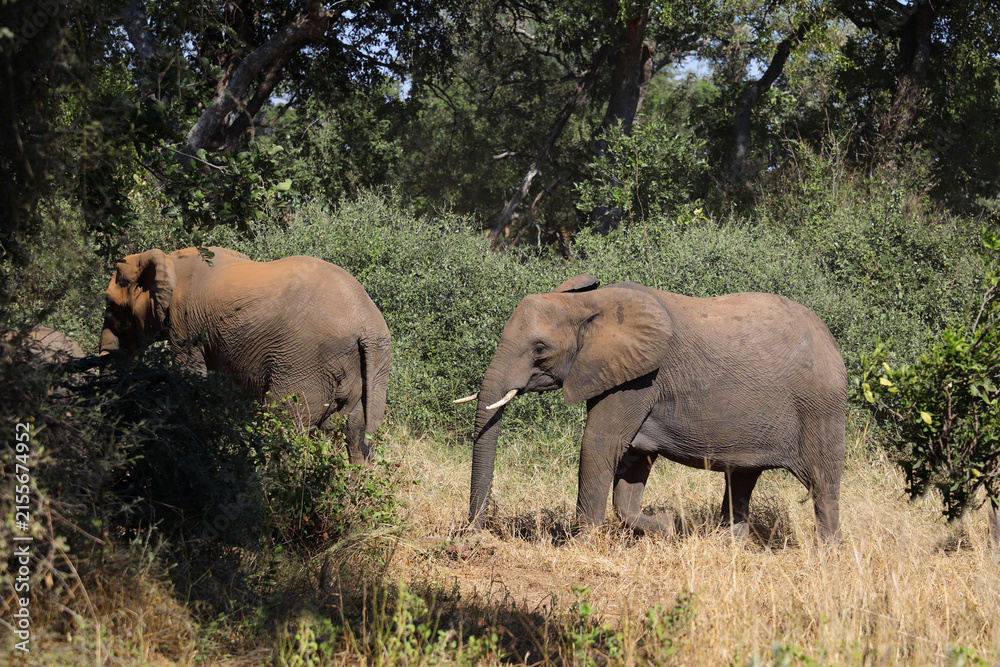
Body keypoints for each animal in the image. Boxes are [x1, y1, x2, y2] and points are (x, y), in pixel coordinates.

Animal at [99, 246, 391, 464]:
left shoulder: (185, 321)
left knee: (284, 424)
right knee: (358, 433)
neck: (170, 259)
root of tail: (366, 321)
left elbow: (189, 377)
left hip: (306, 361)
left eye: (109, 305)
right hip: (376, 368)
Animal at [456, 274, 847, 542]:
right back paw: (726, 544)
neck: (590, 304)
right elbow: (633, 459)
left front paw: (577, 546)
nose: (469, 537)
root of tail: (832, 340)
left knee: (823, 484)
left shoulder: (642, 378)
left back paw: (825, 555)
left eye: (539, 349)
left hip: (820, 407)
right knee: (741, 478)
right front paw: (666, 526)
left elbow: (599, 444)